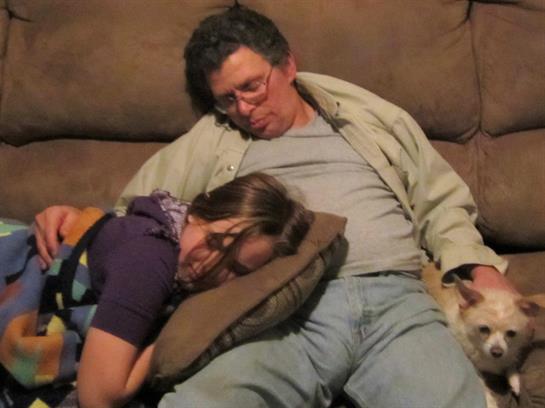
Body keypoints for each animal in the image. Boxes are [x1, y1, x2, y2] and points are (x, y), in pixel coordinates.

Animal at [422, 265, 545, 406]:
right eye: (483, 329)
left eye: (511, 333)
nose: (497, 352)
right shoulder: (473, 364)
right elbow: (481, 384)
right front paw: (491, 402)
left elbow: (510, 363)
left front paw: (514, 379)